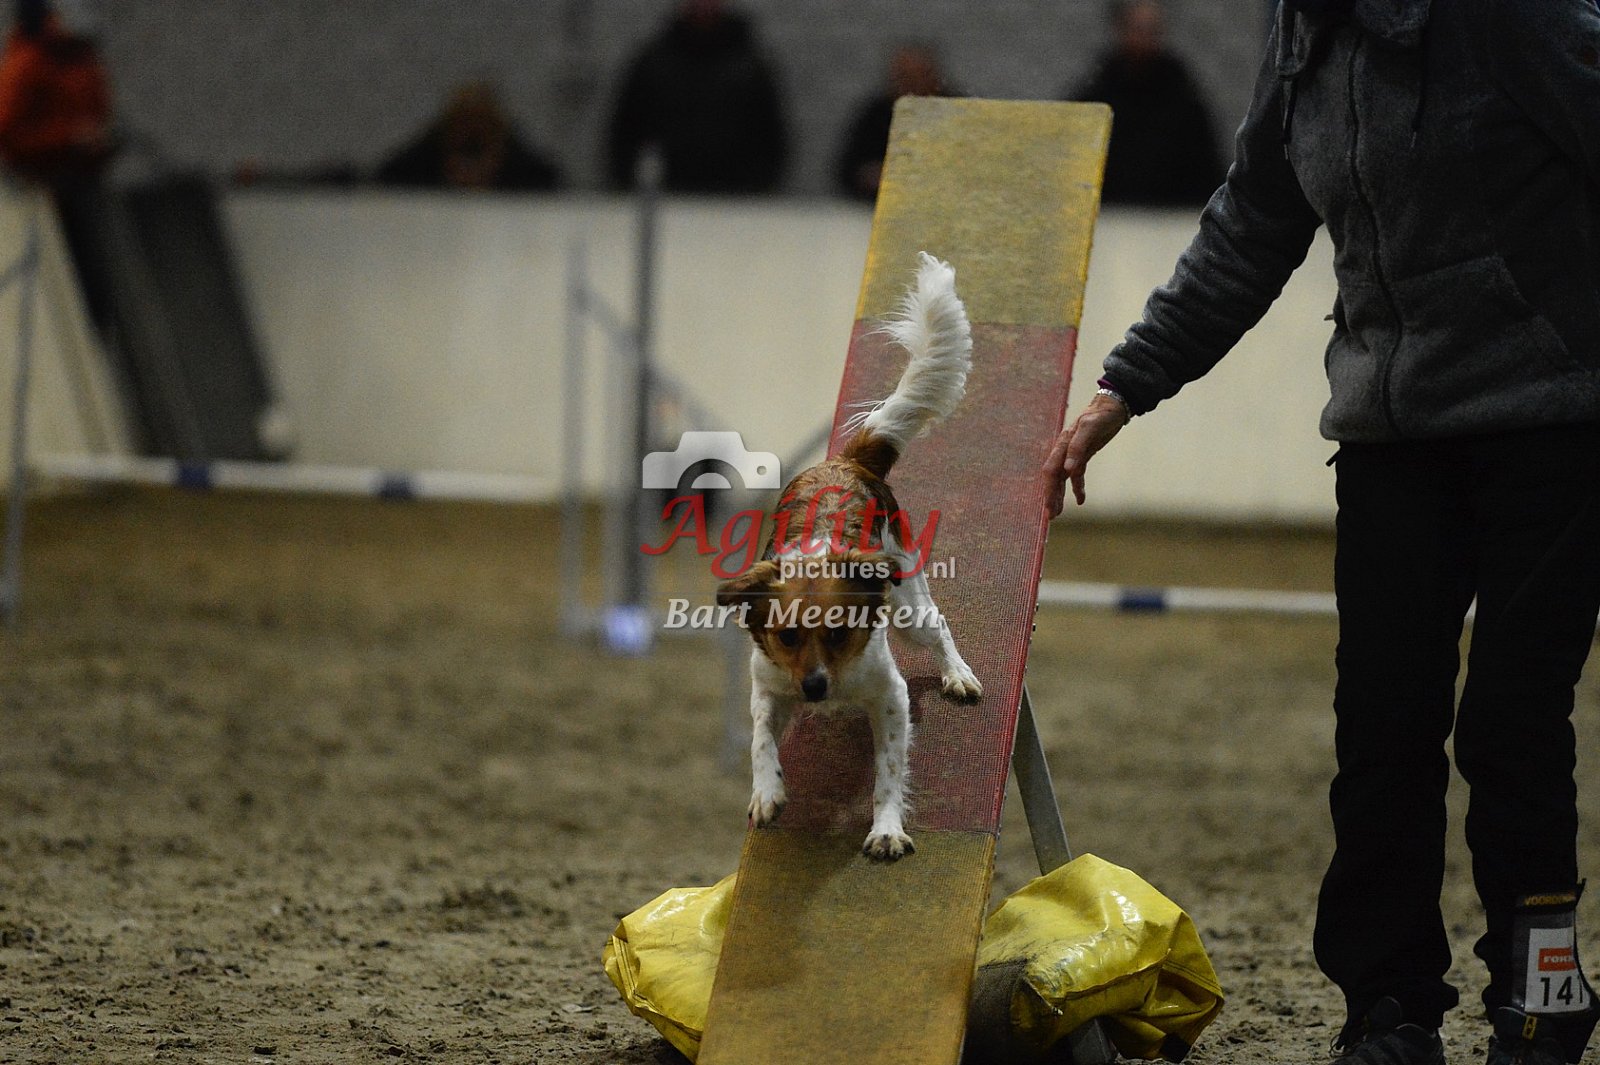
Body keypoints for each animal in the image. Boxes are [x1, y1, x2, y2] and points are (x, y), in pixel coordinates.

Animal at [716, 253, 982, 862]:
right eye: (788, 635)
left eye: (839, 633)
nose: (815, 690)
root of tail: (847, 462)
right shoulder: (770, 685)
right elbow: (760, 741)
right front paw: (767, 794)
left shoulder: (889, 695)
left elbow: (889, 772)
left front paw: (885, 829)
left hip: (908, 609)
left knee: (940, 627)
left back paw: (958, 675)